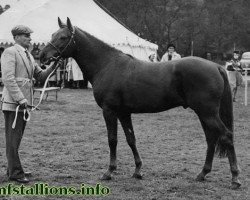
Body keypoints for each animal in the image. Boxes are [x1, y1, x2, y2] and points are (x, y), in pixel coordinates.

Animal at [40, 18, 241, 188]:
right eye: (52, 34)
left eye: (63, 37)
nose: (42, 56)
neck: (107, 64)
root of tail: (216, 66)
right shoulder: (124, 113)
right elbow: (131, 139)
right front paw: (137, 170)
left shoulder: (109, 111)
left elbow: (112, 140)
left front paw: (109, 172)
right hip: (204, 113)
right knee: (211, 138)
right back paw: (202, 174)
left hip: (207, 113)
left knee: (226, 135)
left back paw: (235, 178)